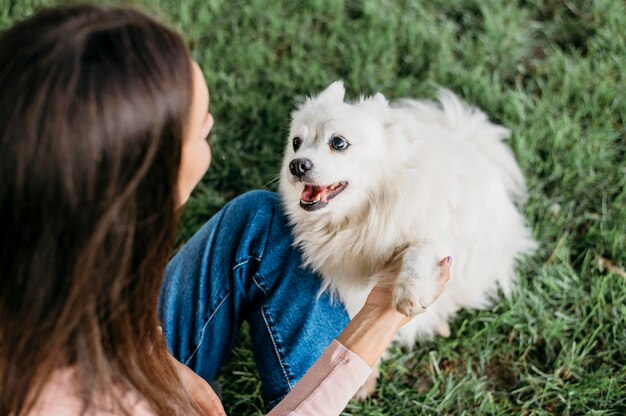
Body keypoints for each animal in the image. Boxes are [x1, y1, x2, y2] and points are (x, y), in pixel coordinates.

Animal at [278, 79, 532, 350]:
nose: (296, 165)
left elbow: (419, 253)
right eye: (296, 142)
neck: (363, 215)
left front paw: (410, 292)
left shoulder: (438, 236)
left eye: (338, 143)